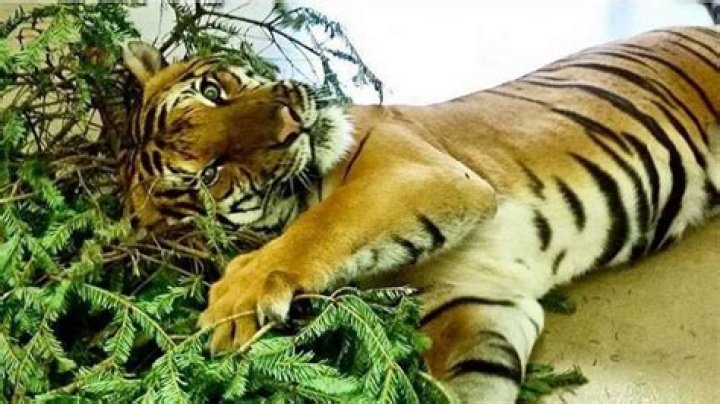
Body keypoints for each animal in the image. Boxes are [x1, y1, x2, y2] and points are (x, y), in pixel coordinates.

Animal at [120, 26, 720, 403]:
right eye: (208, 174)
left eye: (213, 89)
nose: (291, 118)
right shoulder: (475, 304)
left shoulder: (419, 173)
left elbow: (326, 223)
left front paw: (234, 300)